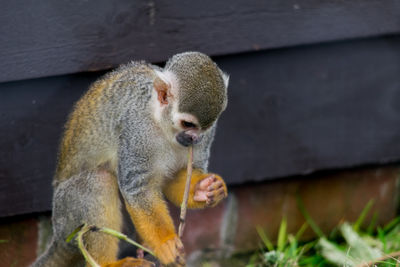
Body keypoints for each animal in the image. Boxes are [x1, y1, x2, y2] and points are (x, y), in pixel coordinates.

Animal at [32, 52, 228, 267]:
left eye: (204, 127)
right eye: (187, 124)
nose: (195, 139)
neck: (160, 122)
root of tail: (58, 238)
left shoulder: (208, 134)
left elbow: (173, 179)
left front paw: (204, 190)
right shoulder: (137, 131)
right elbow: (138, 189)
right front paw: (166, 243)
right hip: (66, 215)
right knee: (98, 181)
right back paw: (109, 263)